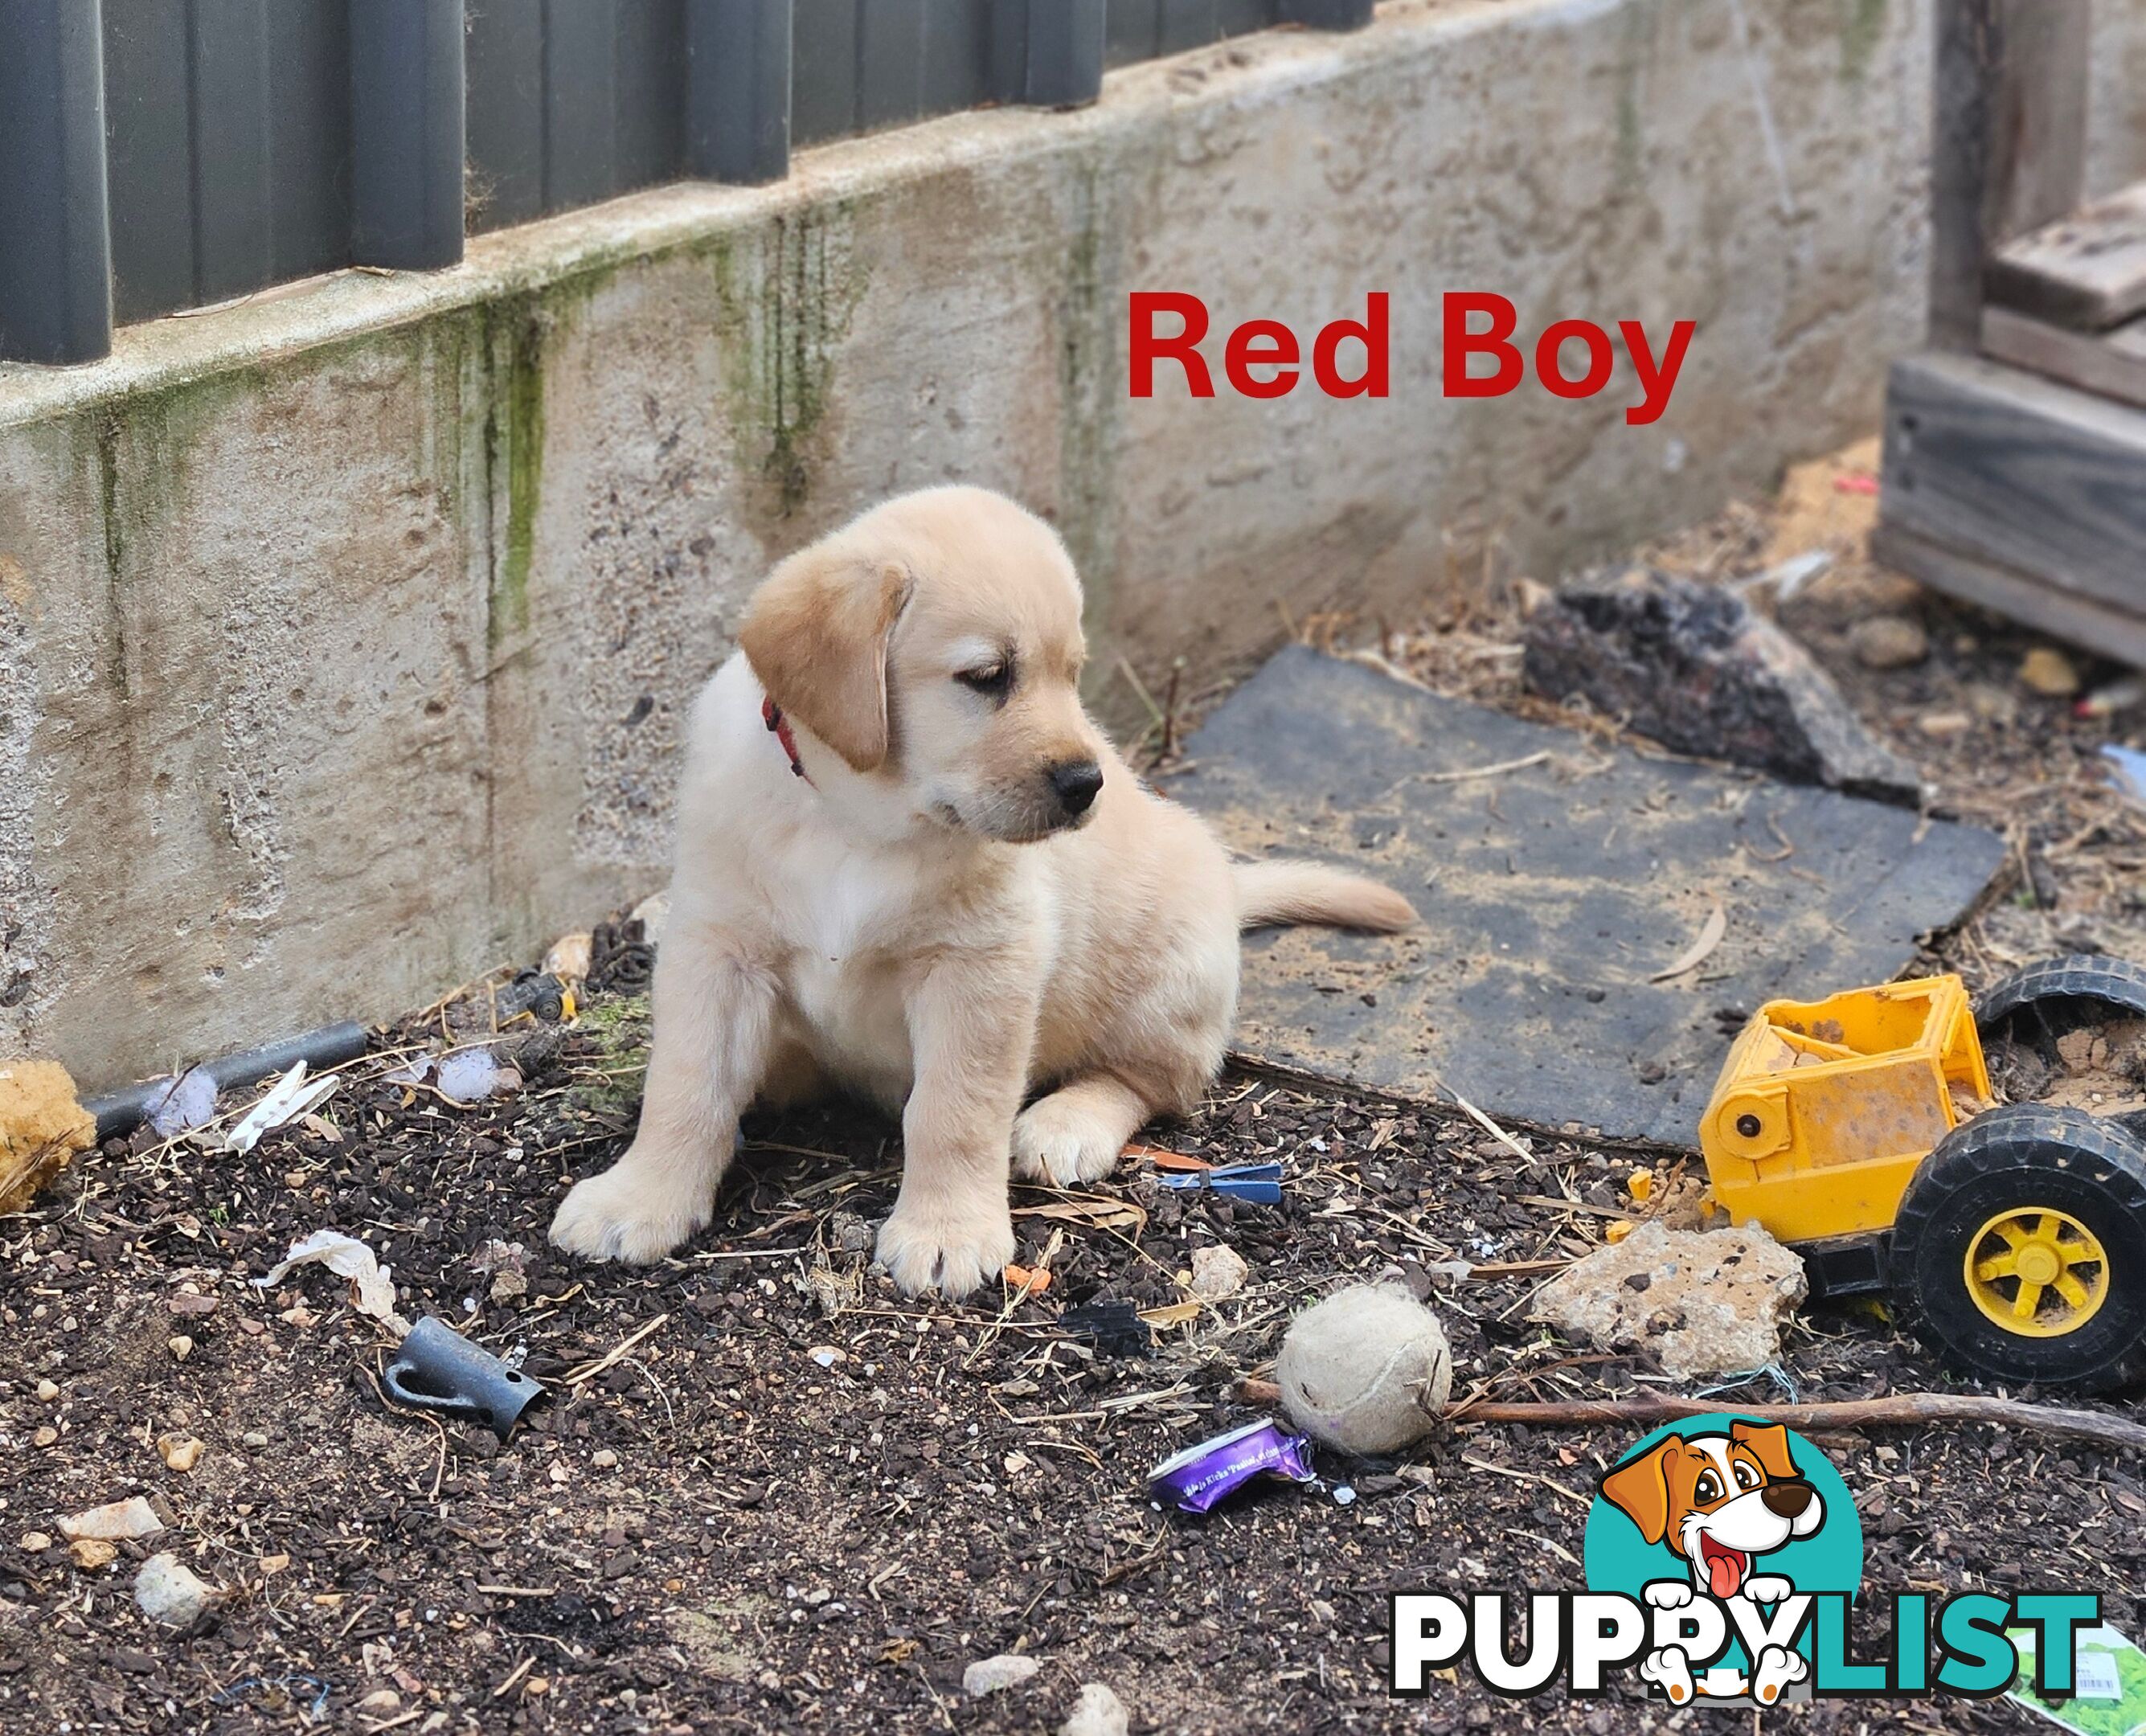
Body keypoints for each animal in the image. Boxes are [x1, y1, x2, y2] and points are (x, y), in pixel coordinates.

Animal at [553, 481, 1416, 1296]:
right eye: (987, 677)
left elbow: (954, 1110)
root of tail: (1228, 894)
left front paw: (946, 1232)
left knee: (1157, 1080)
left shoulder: (979, 968)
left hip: (1170, 977)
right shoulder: (717, 947)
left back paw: (1066, 1123)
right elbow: (687, 1082)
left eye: (1073, 676)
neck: (857, 821)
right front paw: (639, 1198)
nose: (1087, 784)